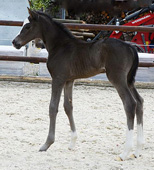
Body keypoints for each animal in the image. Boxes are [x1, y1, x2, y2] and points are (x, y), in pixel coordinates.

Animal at [12, 8, 144, 161]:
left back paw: (124, 153)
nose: (14, 42)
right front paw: (72, 143)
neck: (60, 46)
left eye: (27, 27)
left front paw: (47, 144)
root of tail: (130, 47)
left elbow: (53, 107)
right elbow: (68, 107)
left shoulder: (58, 79)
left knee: (130, 104)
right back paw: (137, 150)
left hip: (117, 78)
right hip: (129, 80)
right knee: (139, 102)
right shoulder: (69, 80)